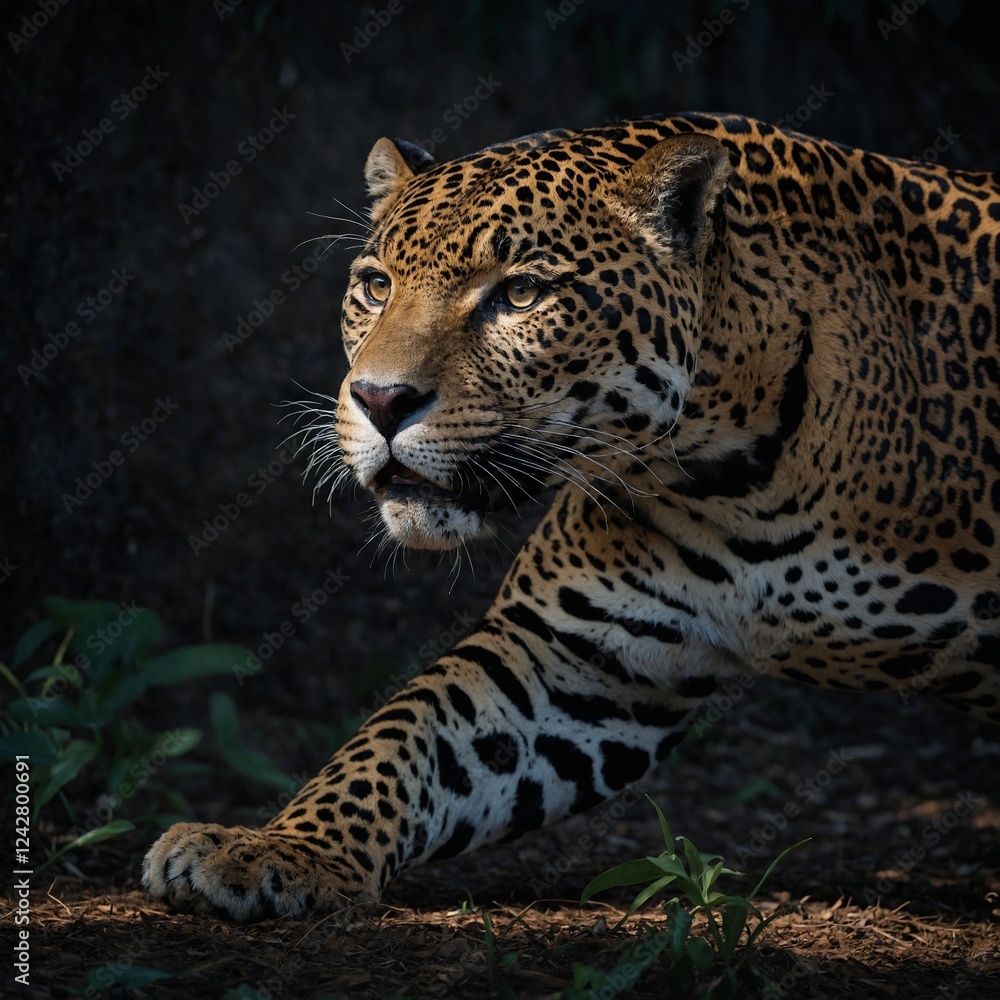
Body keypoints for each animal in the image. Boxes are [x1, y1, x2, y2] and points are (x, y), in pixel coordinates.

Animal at [144, 112, 1000, 920]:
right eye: (377, 286)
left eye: (521, 295)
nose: (380, 400)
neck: (733, 476)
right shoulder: (571, 659)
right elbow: (408, 729)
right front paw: (276, 848)